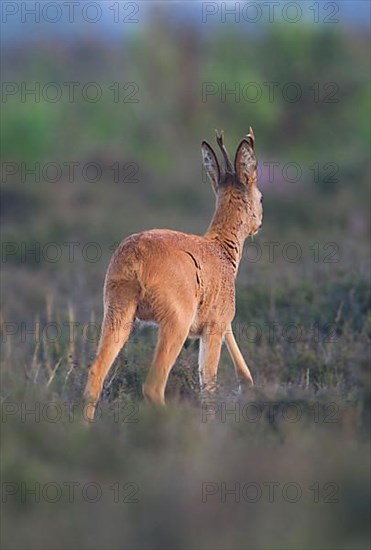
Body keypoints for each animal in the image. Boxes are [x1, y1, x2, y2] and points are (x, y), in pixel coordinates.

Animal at [83, 130, 264, 422]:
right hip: (175, 324)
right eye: (261, 198)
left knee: (95, 375)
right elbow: (208, 385)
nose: (259, 223)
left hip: (118, 315)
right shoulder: (213, 327)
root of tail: (135, 254)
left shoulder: (221, 323)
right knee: (153, 386)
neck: (220, 250)